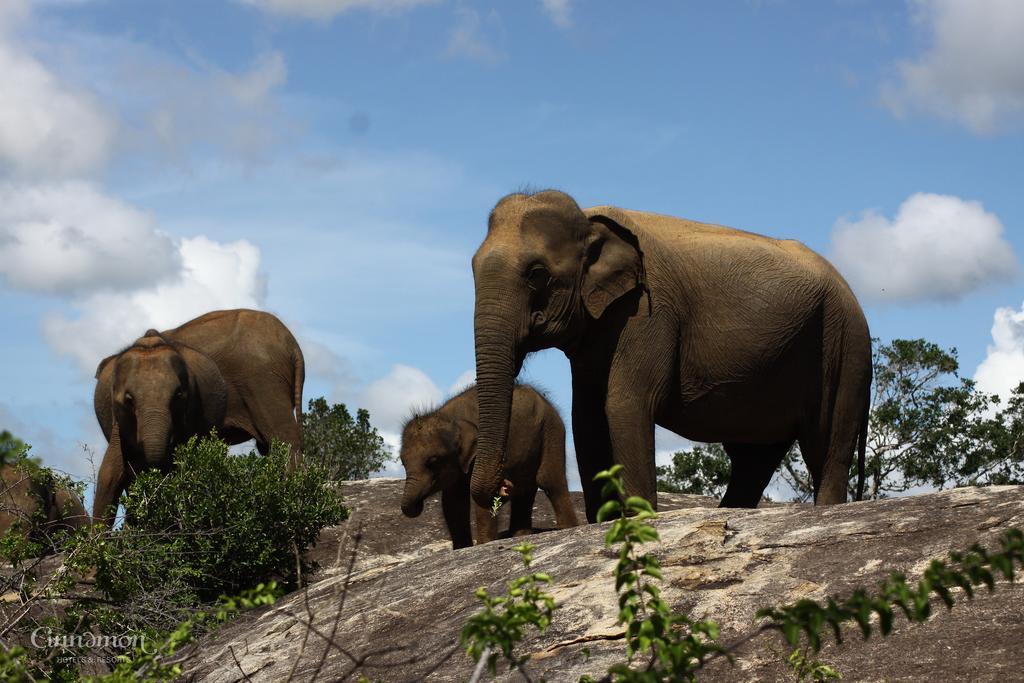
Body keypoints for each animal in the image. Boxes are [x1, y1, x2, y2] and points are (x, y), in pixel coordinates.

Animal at [397, 385, 577, 548]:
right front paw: (462, 549)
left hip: (551, 430)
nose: (505, 485)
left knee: (550, 480)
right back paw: (521, 537)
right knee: (525, 491)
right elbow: (452, 503)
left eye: (433, 462)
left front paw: (484, 544)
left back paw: (568, 529)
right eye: (402, 462)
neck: (449, 417)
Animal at [471, 189, 872, 520]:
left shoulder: (649, 313)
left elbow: (624, 404)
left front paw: (639, 521)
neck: (588, 219)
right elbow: (586, 418)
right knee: (753, 459)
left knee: (829, 445)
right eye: (472, 267)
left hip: (845, 345)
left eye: (537, 273)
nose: (504, 486)